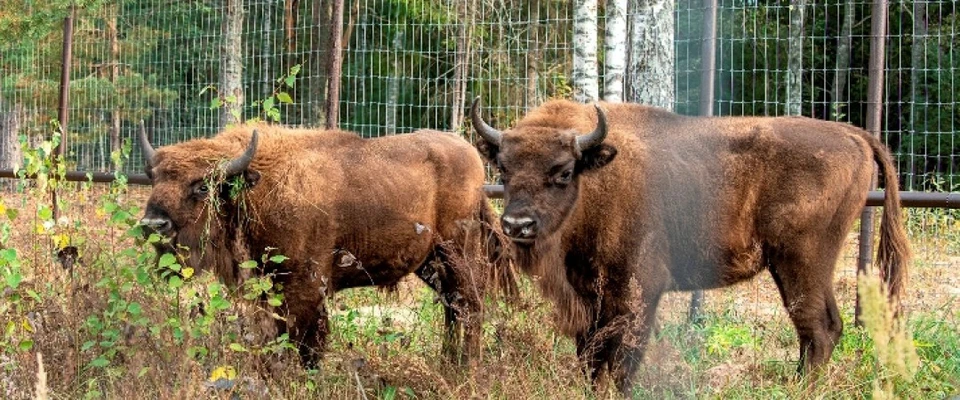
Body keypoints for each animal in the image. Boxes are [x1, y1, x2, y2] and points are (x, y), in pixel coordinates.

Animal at [139, 123, 512, 368]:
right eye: (154, 178)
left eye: (202, 186)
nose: (154, 225)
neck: (255, 188)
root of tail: (471, 156)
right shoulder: (272, 286)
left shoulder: (304, 288)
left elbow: (305, 342)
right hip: (430, 263)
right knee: (452, 307)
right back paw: (447, 363)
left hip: (457, 253)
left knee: (469, 306)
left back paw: (466, 368)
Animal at [468, 98, 912, 392]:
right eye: (503, 169)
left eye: (562, 172)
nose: (517, 224)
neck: (598, 179)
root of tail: (852, 133)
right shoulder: (588, 296)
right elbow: (590, 357)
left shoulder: (636, 294)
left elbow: (622, 360)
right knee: (824, 328)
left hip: (801, 261)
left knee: (818, 328)